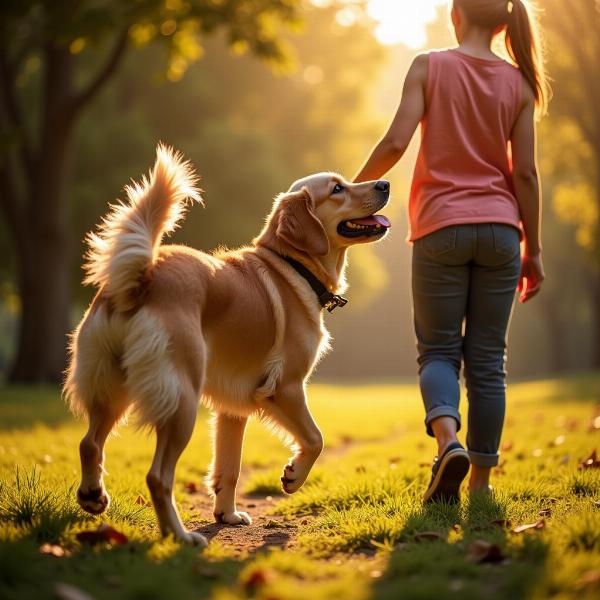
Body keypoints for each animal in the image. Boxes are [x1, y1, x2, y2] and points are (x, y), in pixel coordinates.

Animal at [65, 144, 392, 544]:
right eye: (337, 189)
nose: (385, 183)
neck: (293, 267)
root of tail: (141, 277)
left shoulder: (232, 407)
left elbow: (229, 466)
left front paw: (228, 515)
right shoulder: (285, 388)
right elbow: (316, 439)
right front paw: (293, 475)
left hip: (112, 389)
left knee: (89, 443)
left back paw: (92, 496)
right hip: (181, 401)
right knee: (157, 477)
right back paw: (180, 536)